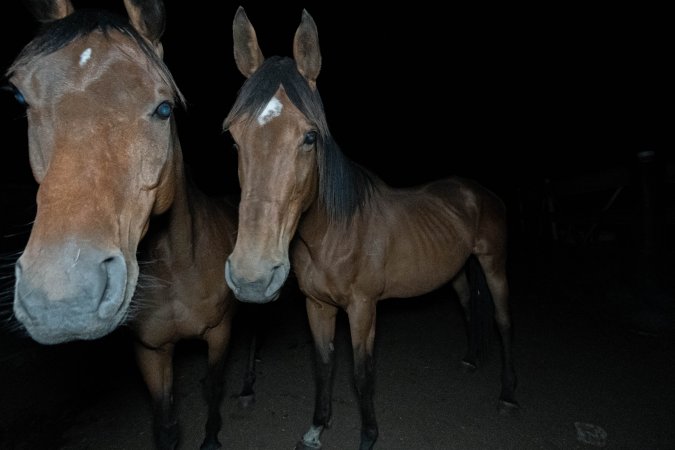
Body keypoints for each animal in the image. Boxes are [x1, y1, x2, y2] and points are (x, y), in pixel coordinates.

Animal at [5, 1, 246, 448]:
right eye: (20, 97)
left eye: (164, 108)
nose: (62, 300)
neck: (175, 269)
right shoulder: (150, 351)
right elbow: (164, 423)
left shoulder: (219, 333)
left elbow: (213, 388)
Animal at [224, 7, 520, 450]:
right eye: (234, 139)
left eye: (310, 137)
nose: (252, 278)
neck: (333, 234)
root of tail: (477, 191)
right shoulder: (318, 305)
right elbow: (324, 364)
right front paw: (317, 427)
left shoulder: (363, 308)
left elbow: (362, 374)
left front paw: (367, 436)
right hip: (456, 269)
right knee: (469, 304)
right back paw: (470, 359)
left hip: (494, 263)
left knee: (503, 322)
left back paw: (507, 395)